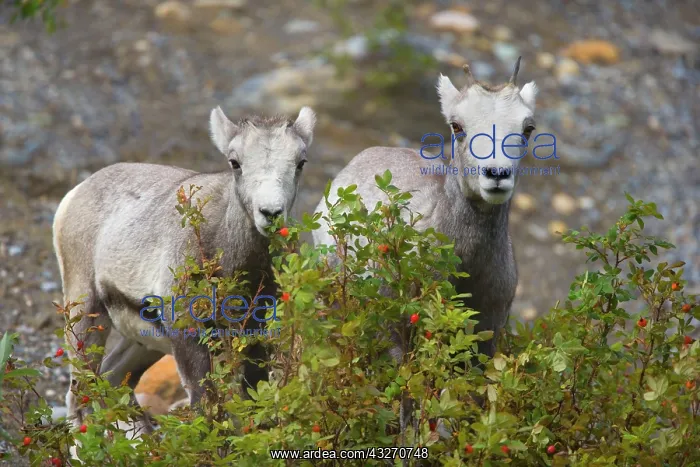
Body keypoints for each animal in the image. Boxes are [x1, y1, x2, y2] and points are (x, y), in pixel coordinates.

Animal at [52, 105, 316, 432]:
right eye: (235, 163)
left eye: (300, 162)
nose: (270, 213)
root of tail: (75, 195)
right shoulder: (188, 337)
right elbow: (206, 407)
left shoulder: (254, 335)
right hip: (86, 315)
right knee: (81, 395)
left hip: (143, 342)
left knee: (113, 382)